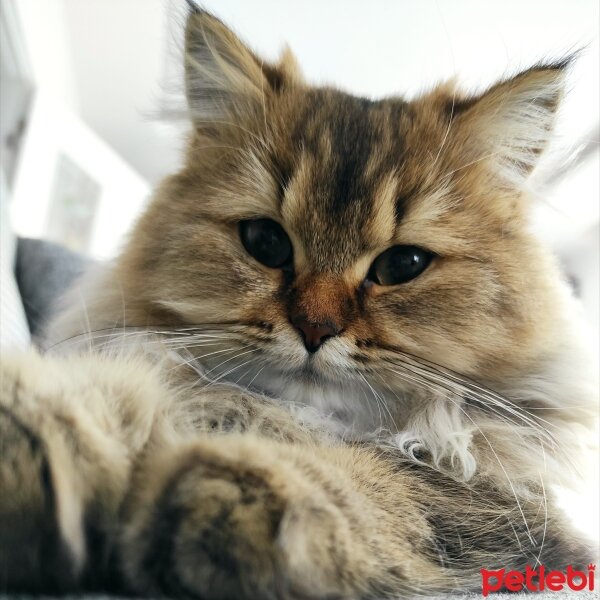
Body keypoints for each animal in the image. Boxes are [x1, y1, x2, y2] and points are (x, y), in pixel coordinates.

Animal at [1, 5, 600, 600]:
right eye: (265, 242)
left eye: (403, 265)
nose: (314, 329)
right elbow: (93, 399)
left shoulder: (494, 510)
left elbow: (368, 484)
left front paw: (215, 498)